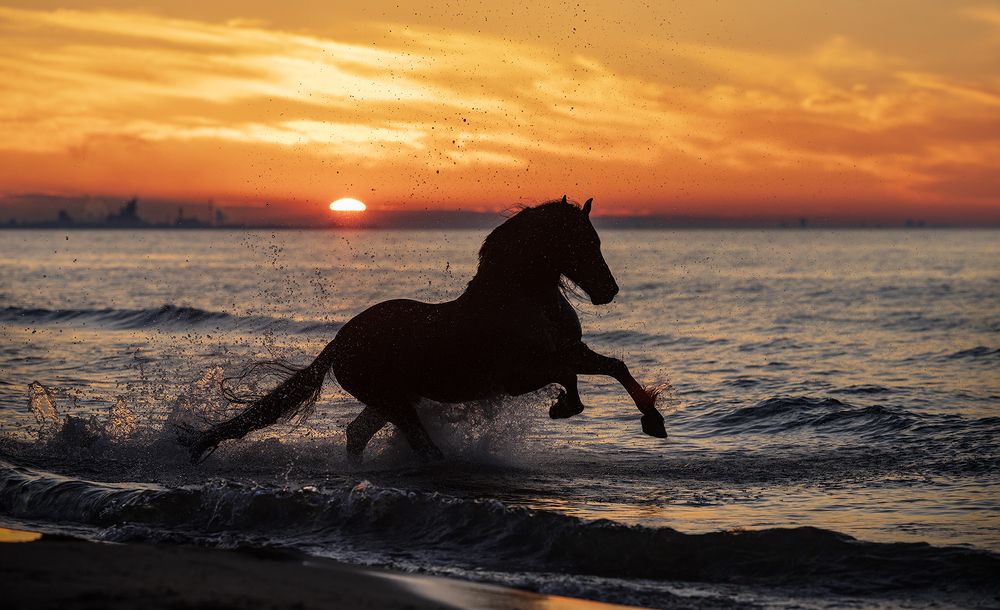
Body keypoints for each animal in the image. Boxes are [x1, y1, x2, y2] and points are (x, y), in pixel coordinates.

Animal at [178, 196, 667, 463]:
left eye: (596, 241)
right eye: (582, 242)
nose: (608, 291)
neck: (521, 299)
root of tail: (339, 341)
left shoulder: (571, 351)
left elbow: (615, 367)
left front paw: (654, 421)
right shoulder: (517, 377)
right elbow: (570, 378)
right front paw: (563, 408)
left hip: (392, 399)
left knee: (357, 433)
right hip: (393, 401)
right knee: (413, 443)